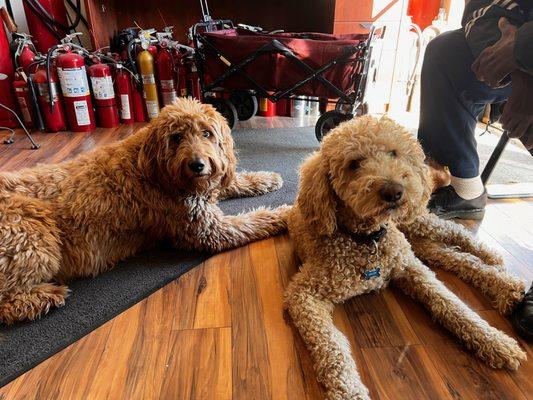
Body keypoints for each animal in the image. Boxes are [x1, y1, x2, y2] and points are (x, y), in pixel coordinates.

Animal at [0, 97, 286, 324]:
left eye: (207, 133)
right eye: (176, 137)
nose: (197, 165)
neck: (152, 168)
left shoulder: (206, 188)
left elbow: (232, 181)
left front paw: (265, 179)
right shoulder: (209, 230)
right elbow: (252, 221)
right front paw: (284, 213)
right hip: (35, 235)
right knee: (6, 302)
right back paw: (43, 297)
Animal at [284, 115, 524, 400]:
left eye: (393, 153)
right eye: (354, 163)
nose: (394, 191)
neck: (368, 239)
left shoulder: (411, 268)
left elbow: (451, 303)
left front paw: (493, 339)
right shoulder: (304, 293)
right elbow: (332, 349)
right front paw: (350, 390)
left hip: (417, 222)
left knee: (457, 233)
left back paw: (496, 265)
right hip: (417, 245)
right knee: (454, 257)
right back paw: (506, 286)